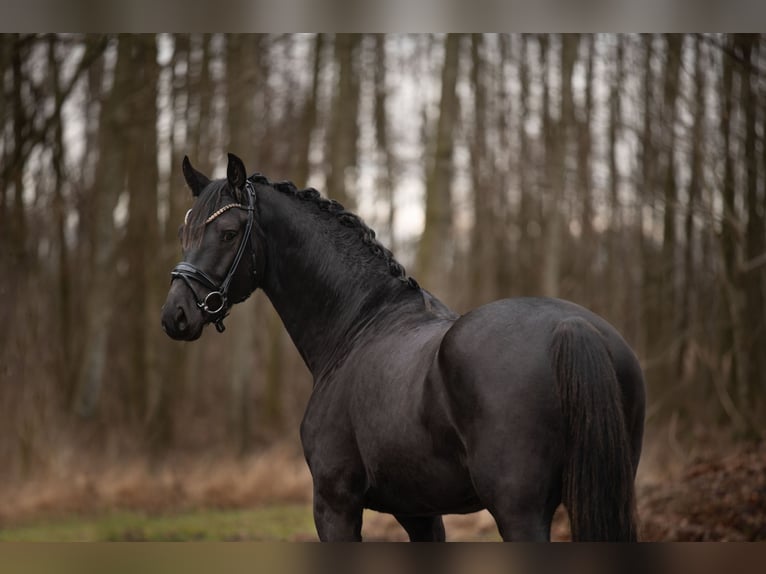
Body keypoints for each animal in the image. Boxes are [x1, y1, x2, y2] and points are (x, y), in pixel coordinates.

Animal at [162, 155, 648, 544]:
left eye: (228, 233)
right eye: (185, 230)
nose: (175, 315)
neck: (360, 324)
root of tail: (572, 326)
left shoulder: (335, 504)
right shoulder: (419, 513)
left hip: (519, 512)